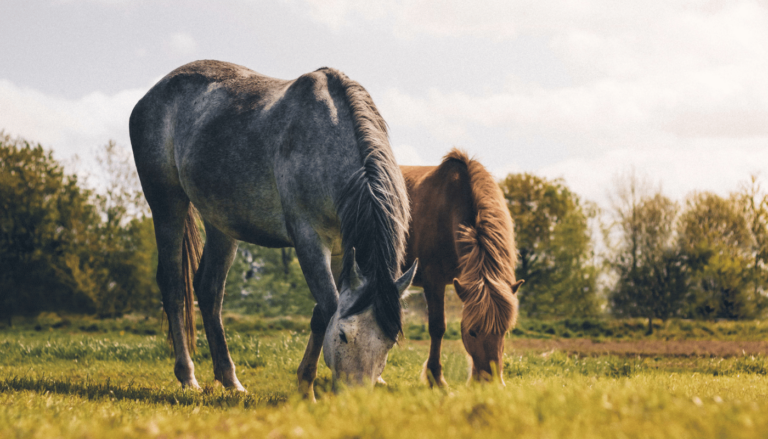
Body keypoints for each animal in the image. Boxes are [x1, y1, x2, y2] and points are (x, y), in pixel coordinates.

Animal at [132, 60, 420, 400]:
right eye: (343, 336)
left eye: (389, 343)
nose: (356, 398)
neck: (328, 139)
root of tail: (151, 96)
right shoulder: (309, 240)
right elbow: (327, 308)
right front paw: (306, 389)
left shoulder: (341, 250)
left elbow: (320, 313)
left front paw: (305, 384)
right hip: (167, 203)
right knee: (175, 286)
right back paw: (188, 376)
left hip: (221, 223)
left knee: (209, 290)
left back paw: (230, 380)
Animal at [402, 150, 520, 384]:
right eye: (472, 332)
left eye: (503, 331)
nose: (490, 382)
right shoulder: (433, 281)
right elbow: (437, 327)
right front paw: (436, 378)